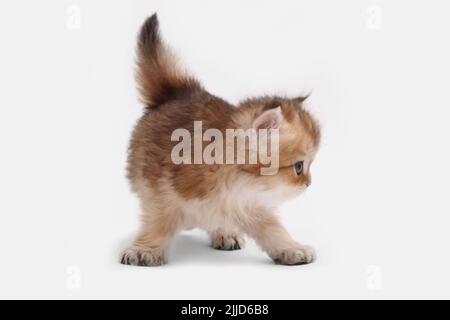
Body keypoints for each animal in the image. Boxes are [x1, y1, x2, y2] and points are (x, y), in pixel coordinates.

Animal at [121, 13, 322, 266]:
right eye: (298, 167)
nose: (309, 183)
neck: (232, 180)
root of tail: (177, 92)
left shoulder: (249, 204)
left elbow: (273, 229)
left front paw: (291, 248)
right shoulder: (161, 192)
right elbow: (157, 224)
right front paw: (145, 250)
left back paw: (225, 233)